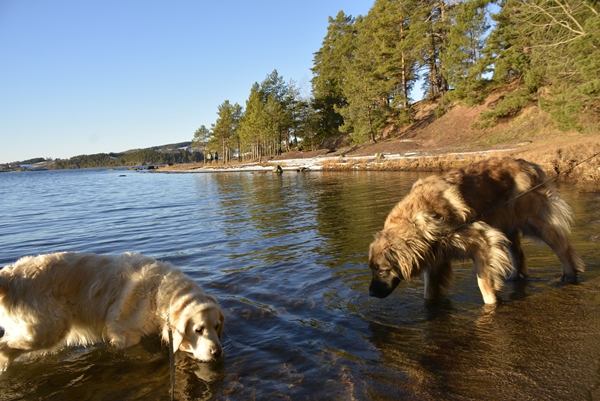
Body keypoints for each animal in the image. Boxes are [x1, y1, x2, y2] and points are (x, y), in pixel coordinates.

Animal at [0, 252, 225, 370]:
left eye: (217, 327)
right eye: (198, 330)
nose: (218, 352)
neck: (159, 294)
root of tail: (10, 275)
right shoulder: (124, 334)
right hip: (47, 329)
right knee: (5, 347)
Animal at [368, 156, 584, 304]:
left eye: (383, 270)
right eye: (372, 269)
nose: (370, 293)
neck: (417, 222)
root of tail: (528, 163)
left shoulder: (482, 241)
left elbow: (484, 282)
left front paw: (492, 303)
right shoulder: (435, 257)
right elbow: (429, 292)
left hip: (534, 221)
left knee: (562, 247)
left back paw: (568, 275)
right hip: (506, 224)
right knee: (518, 252)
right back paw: (515, 276)